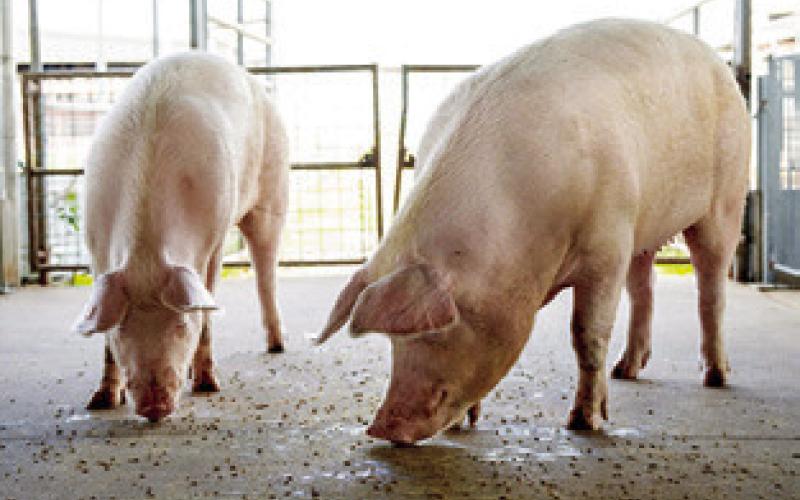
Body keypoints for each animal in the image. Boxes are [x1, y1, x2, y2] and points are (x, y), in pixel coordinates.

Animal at [73, 52, 289, 422]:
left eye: (180, 325)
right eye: (123, 329)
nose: (154, 406)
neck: (145, 253)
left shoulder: (212, 240)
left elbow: (207, 303)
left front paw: (207, 386)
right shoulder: (96, 248)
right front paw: (100, 402)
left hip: (273, 193)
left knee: (266, 269)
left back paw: (276, 345)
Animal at [317, 19, 750, 444]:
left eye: (437, 330)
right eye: (393, 342)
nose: (381, 427)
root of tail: (718, 62)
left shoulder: (607, 244)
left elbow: (587, 334)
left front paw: (584, 422)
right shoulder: (616, 238)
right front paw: (464, 424)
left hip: (726, 198)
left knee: (711, 287)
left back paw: (715, 376)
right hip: (642, 227)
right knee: (644, 286)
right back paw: (625, 370)